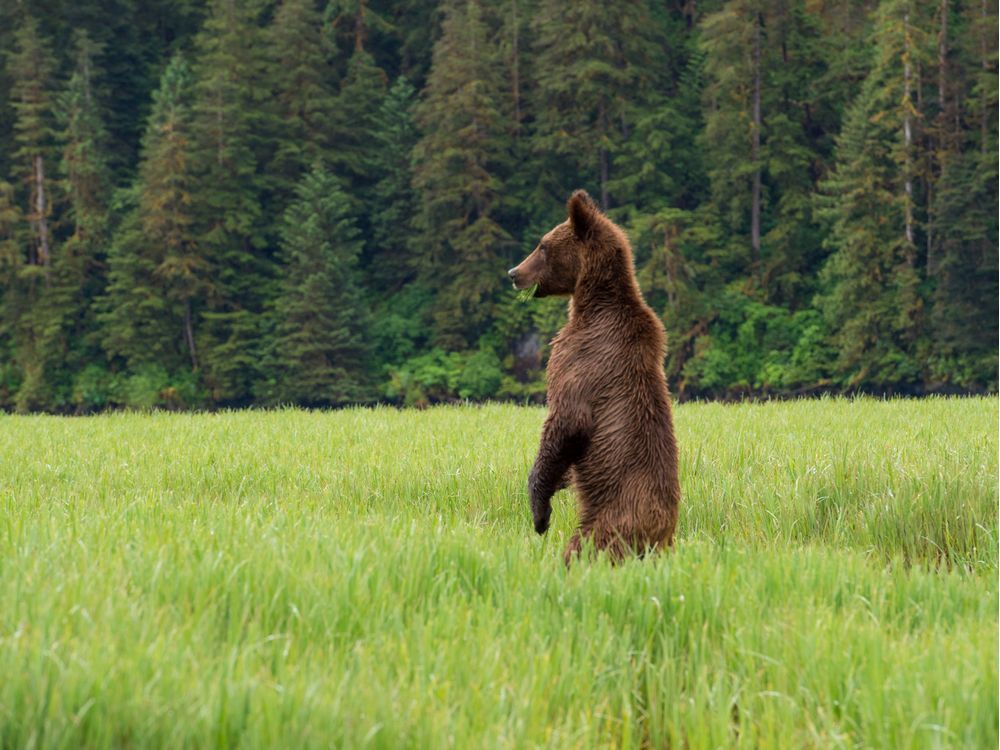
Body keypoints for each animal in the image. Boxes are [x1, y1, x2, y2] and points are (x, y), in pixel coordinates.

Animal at [508, 191, 680, 560]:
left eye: (542, 246)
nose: (514, 272)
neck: (592, 304)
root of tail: (660, 535)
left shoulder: (581, 359)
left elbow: (567, 421)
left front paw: (540, 511)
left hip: (609, 523)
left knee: (582, 548)